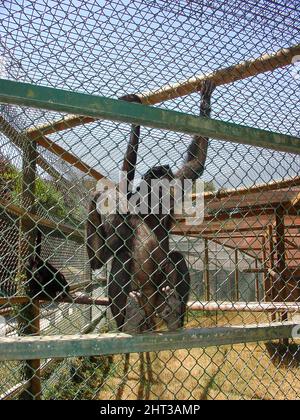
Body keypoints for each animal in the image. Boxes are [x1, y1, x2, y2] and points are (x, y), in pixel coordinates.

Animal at [86, 81, 216, 332]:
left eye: (165, 183)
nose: (163, 191)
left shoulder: (176, 188)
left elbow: (195, 165)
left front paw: (204, 104)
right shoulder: (123, 213)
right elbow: (99, 259)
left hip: (159, 297)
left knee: (175, 257)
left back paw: (174, 314)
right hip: (138, 301)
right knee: (122, 259)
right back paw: (128, 322)